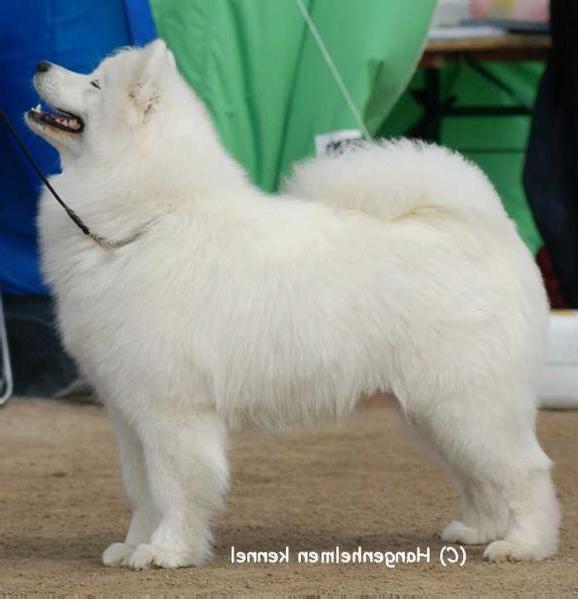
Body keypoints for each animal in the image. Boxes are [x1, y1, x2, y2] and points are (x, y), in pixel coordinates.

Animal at [27, 39, 560, 568]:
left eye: (95, 83)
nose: (40, 63)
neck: (144, 222)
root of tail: (490, 229)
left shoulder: (171, 408)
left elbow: (174, 487)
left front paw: (167, 550)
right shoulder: (128, 412)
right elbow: (140, 490)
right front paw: (134, 543)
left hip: (466, 403)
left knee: (525, 470)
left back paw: (524, 544)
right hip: (431, 413)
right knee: (480, 476)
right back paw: (477, 529)